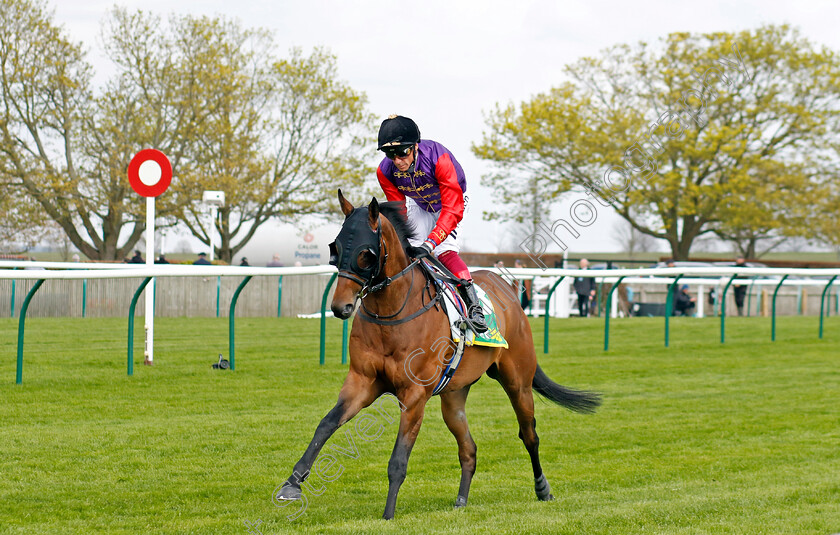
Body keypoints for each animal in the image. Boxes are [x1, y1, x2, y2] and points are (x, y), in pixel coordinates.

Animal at [278, 192, 600, 520]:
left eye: (365, 254)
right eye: (336, 248)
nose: (340, 307)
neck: (392, 313)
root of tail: (506, 288)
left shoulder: (414, 394)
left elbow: (398, 459)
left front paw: (388, 515)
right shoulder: (362, 381)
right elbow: (326, 424)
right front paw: (292, 483)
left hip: (518, 382)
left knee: (529, 435)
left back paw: (542, 489)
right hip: (454, 396)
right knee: (469, 448)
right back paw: (461, 499)